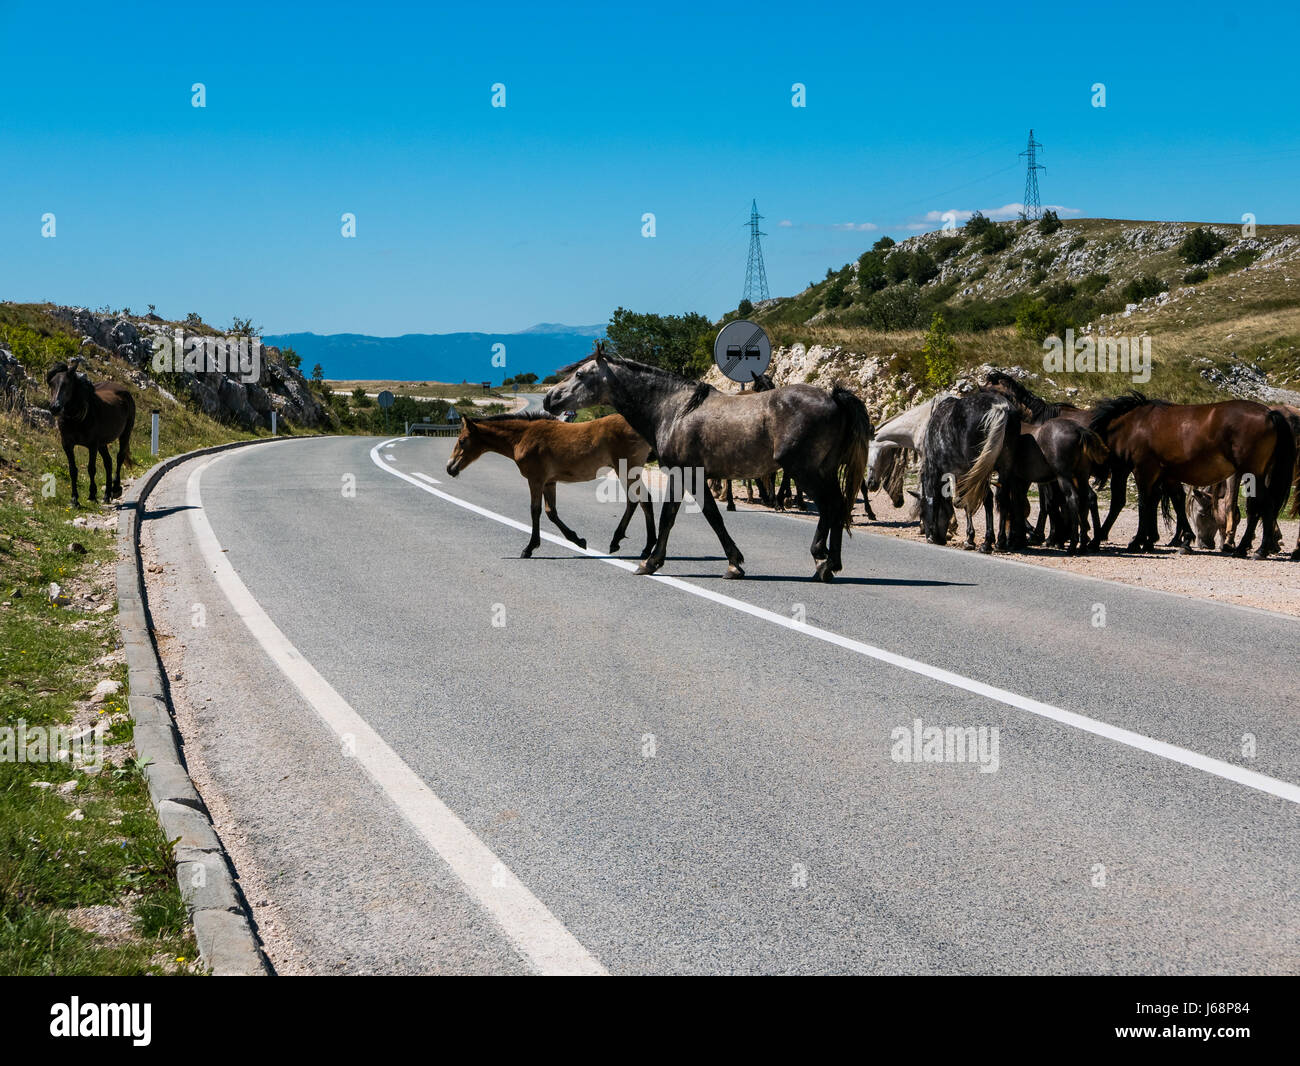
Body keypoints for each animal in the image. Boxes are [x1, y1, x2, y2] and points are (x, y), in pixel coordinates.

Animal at [46, 361, 133, 506]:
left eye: (67, 384)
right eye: (51, 383)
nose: (55, 407)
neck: (76, 419)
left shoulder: (92, 445)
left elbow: (91, 469)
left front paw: (92, 495)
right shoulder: (67, 444)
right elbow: (73, 470)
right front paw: (74, 499)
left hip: (125, 434)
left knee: (119, 457)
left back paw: (115, 489)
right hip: (102, 444)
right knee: (108, 462)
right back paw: (106, 495)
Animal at [447, 410, 655, 559]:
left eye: (462, 441)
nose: (450, 468)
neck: (523, 437)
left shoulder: (536, 480)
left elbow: (535, 510)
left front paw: (529, 548)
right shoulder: (549, 482)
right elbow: (551, 512)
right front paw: (578, 540)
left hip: (627, 469)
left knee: (642, 500)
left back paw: (637, 546)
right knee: (638, 501)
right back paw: (636, 546)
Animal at [543, 348, 868, 582]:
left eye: (580, 374)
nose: (549, 399)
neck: (674, 410)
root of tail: (833, 396)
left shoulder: (688, 474)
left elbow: (698, 517)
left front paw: (655, 561)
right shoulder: (684, 477)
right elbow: (683, 516)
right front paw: (658, 560)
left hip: (806, 473)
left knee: (830, 507)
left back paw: (822, 561)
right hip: (823, 472)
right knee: (838, 507)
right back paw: (831, 563)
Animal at [1092, 392, 1294, 559]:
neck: (1135, 425)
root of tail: (1269, 413)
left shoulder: (1143, 471)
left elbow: (1143, 503)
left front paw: (1137, 541)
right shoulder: (1167, 475)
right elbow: (1176, 502)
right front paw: (1184, 540)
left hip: (1252, 473)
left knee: (1264, 505)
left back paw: (1260, 550)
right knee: (1257, 507)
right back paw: (1244, 548)